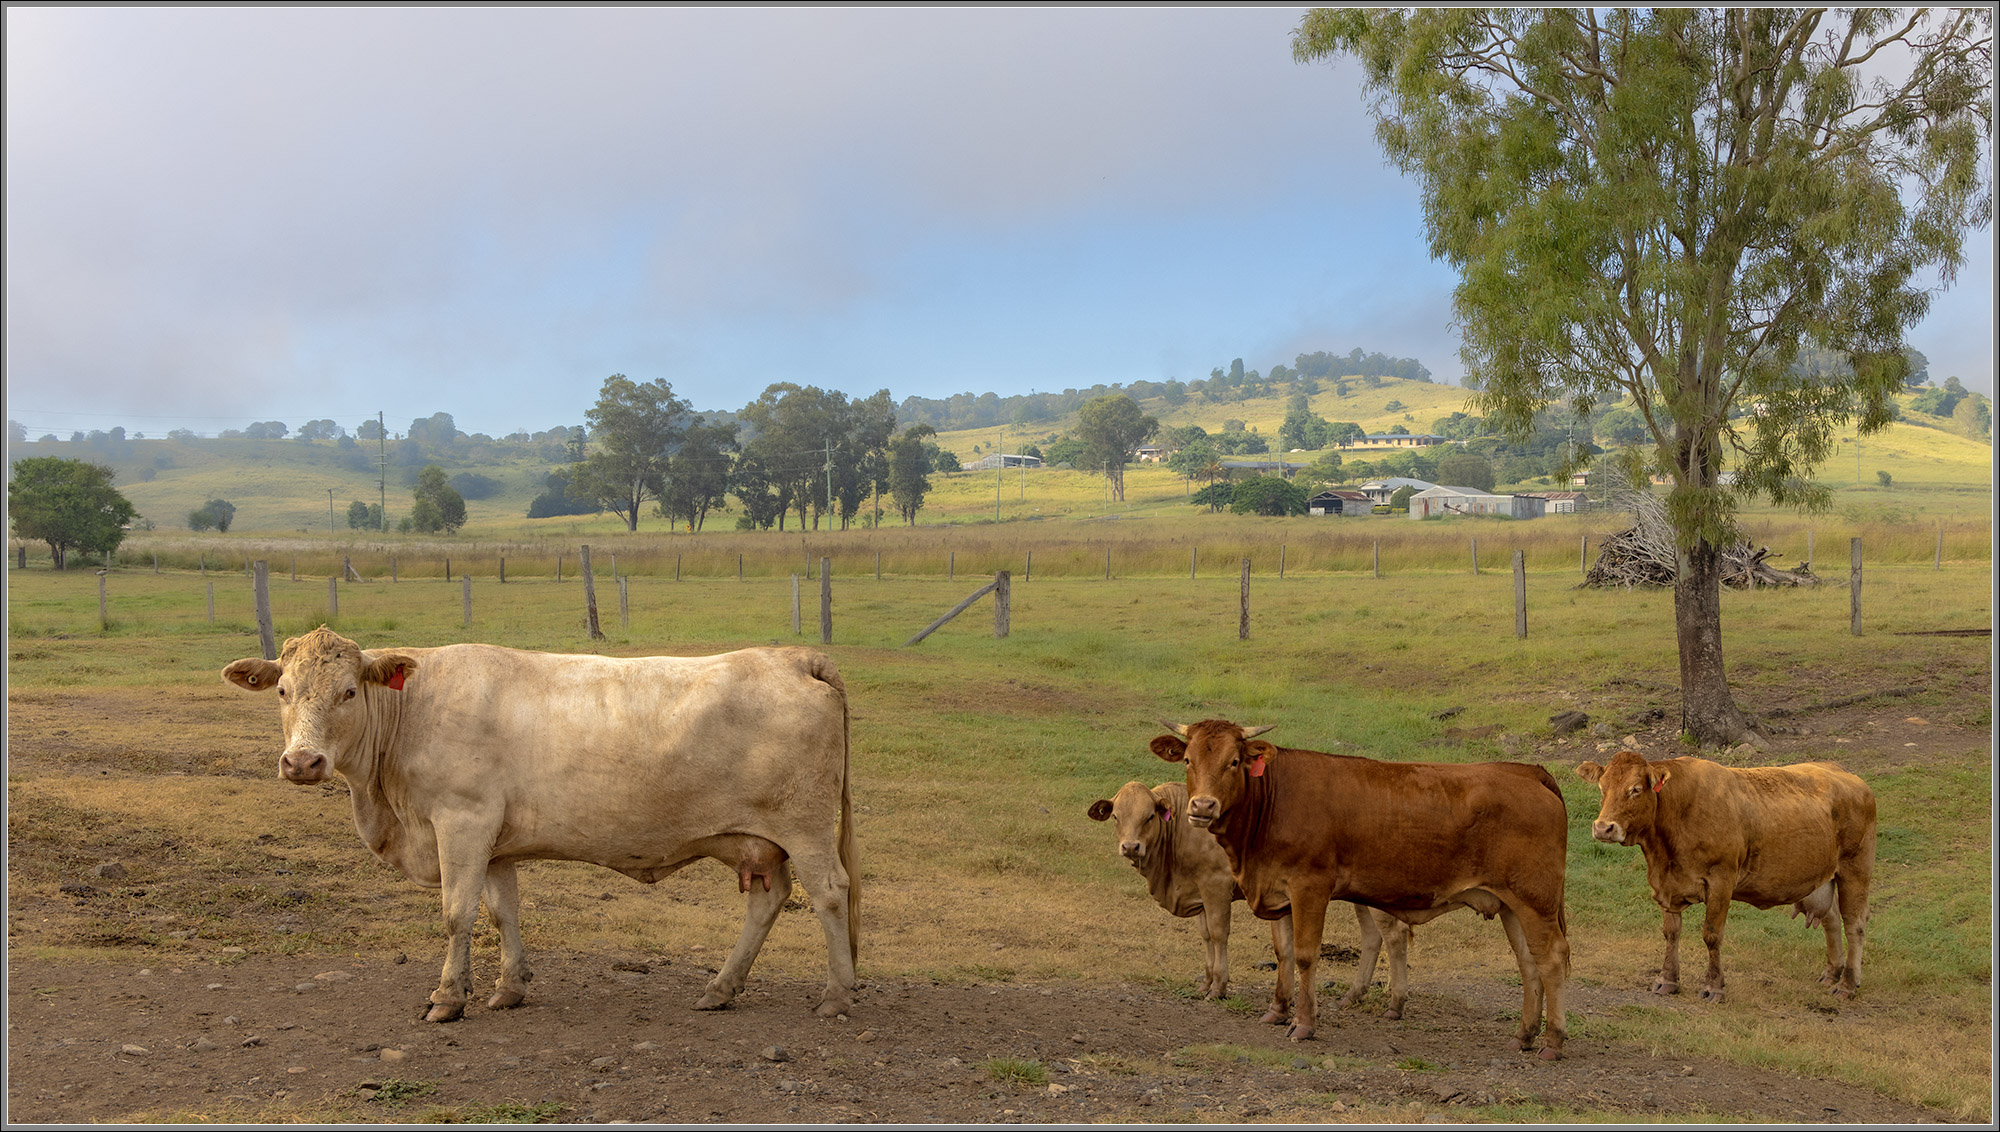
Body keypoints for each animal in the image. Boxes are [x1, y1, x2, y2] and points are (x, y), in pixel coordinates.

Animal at [223, 632, 856, 1032]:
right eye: (283, 691)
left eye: (349, 692)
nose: (301, 762)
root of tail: (794, 657)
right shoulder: (494, 840)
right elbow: (503, 911)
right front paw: (509, 988)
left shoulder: (462, 821)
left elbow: (457, 913)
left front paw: (448, 998)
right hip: (762, 843)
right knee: (769, 900)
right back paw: (720, 989)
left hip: (805, 828)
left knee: (829, 894)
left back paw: (837, 995)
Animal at [1088, 784, 1416, 1024]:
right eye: (1116, 816)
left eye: (1149, 817)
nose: (1131, 846)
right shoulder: (1198, 891)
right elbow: (1205, 936)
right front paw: (1206, 981)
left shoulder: (1216, 885)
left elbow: (1218, 934)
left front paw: (1218, 987)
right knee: (1372, 937)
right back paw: (1354, 995)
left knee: (1394, 936)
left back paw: (1396, 1004)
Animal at [1168, 724, 1568, 1064]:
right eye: (1188, 760)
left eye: (1233, 761)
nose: (1202, 806)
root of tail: (1526, 771)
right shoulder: (1277, 891)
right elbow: (1283, 953)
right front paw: (1277, 1011)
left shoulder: (1310, 887)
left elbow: (1305, 956)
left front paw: (1303, 1024)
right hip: (1512, 905)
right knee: (1529, 962)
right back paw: (1524, 1036)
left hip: (1535, 902)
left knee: (1551, 960)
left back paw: (1552, 1041)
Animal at [1576, 756, 1872, 1004]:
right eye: (1602, 788)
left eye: (1636, 789)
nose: (1603, 828)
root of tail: (1845, 774)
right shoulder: (1666, 884)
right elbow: (1671, 933)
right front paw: (1667, 980)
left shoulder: (1721, 881)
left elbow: (1712, 935)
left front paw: (1714, 987)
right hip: (1823, 877)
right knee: (1831, 920)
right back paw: (1831, 973)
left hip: (1855, 868)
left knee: (1854, 925)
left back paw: (1847, 984)